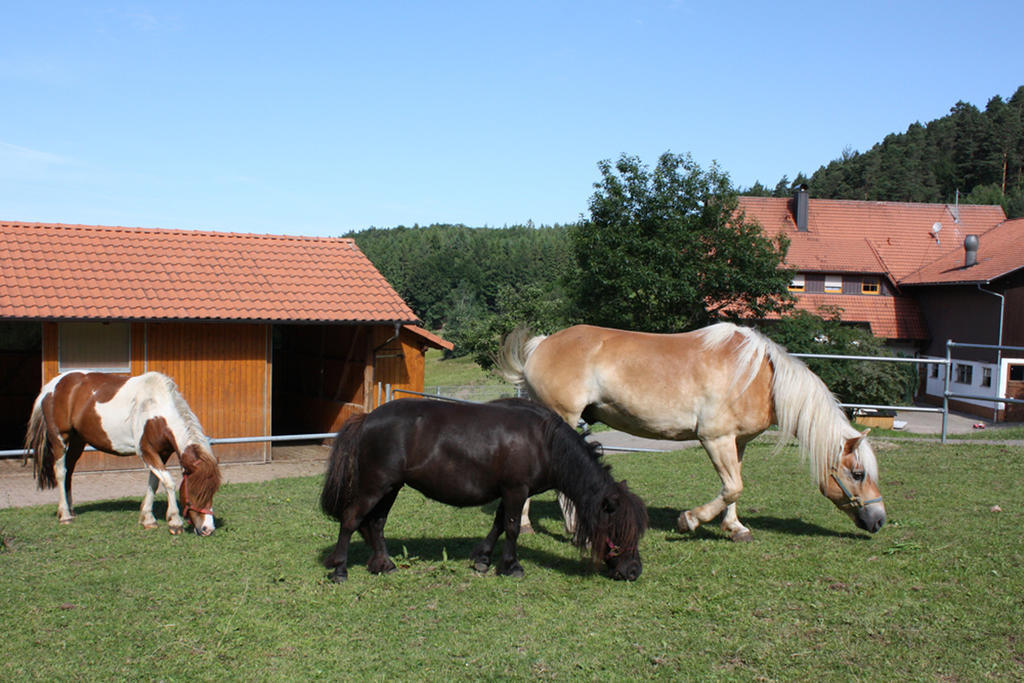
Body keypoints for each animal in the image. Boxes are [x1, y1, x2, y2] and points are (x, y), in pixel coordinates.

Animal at [24, 370, 222, 536]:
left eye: (212, 491)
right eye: (196, 491)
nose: (208, 528)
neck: (155, 408)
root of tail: (50, 386)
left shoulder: (162, 453)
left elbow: (154, 482)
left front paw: (148, 519)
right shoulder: (146, 451)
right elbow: (169, 483)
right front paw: (175, 522)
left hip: (78, 441)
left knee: (69, 472)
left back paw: (70, 510)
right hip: (60, 439)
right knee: (60, 472)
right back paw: (65, 515)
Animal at [319, 397, 643, 585]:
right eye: (619, 530)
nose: (634, 571)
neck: (544, 441)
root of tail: (367, 418)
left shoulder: (510, 492)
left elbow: (498, 525)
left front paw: (483, 559)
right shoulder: (516, 490)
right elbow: (511, 528)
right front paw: (511, 566)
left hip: (390, 488)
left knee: (375, 523)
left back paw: (384, 565)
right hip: (375, 486)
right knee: (351, 520)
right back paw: (340, 570)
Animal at [497, 323, 888, 540]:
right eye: (858, 473)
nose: (879, 520)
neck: (758, 377)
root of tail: (542, 344)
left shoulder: (737, 443)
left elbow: (735, 487)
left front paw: (735, 528)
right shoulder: (714, 439)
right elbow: (732, 487)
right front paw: (690, 520)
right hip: (562, 417)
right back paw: (560, 525)